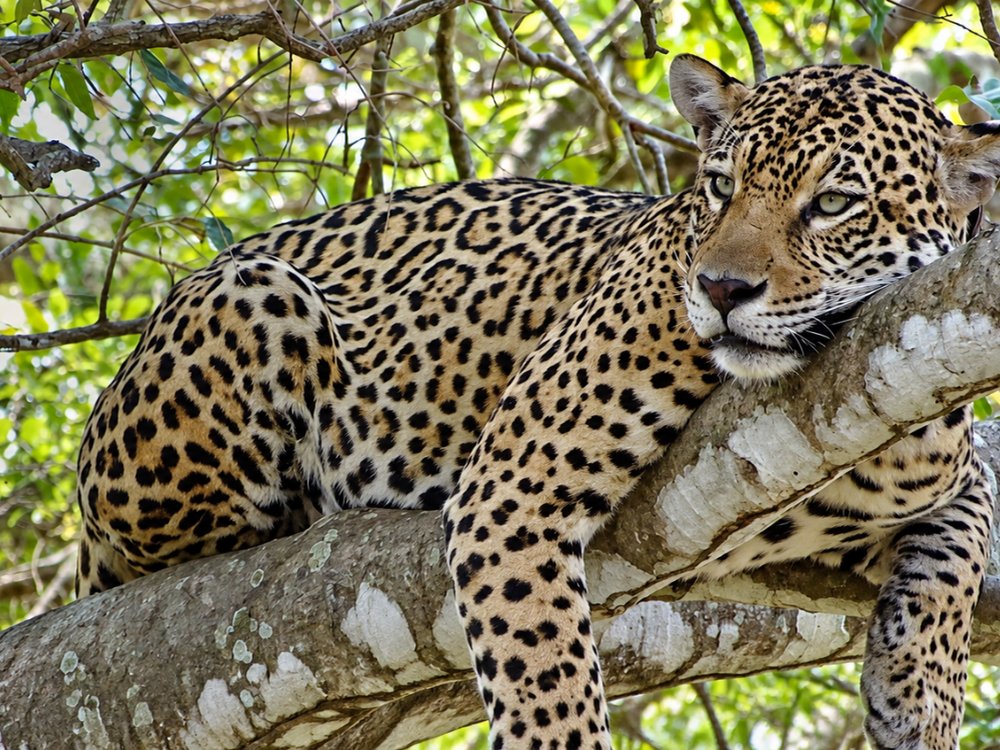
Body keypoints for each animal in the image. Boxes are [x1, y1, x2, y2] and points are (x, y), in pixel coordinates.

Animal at [73, 54, 1000, 749]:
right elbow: (546, 680)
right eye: (718, 187)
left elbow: (963, 539)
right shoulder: (515, 486)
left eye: (833, 203)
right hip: (253, 296)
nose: (720, 289)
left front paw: (919, 700)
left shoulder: (933, 440)